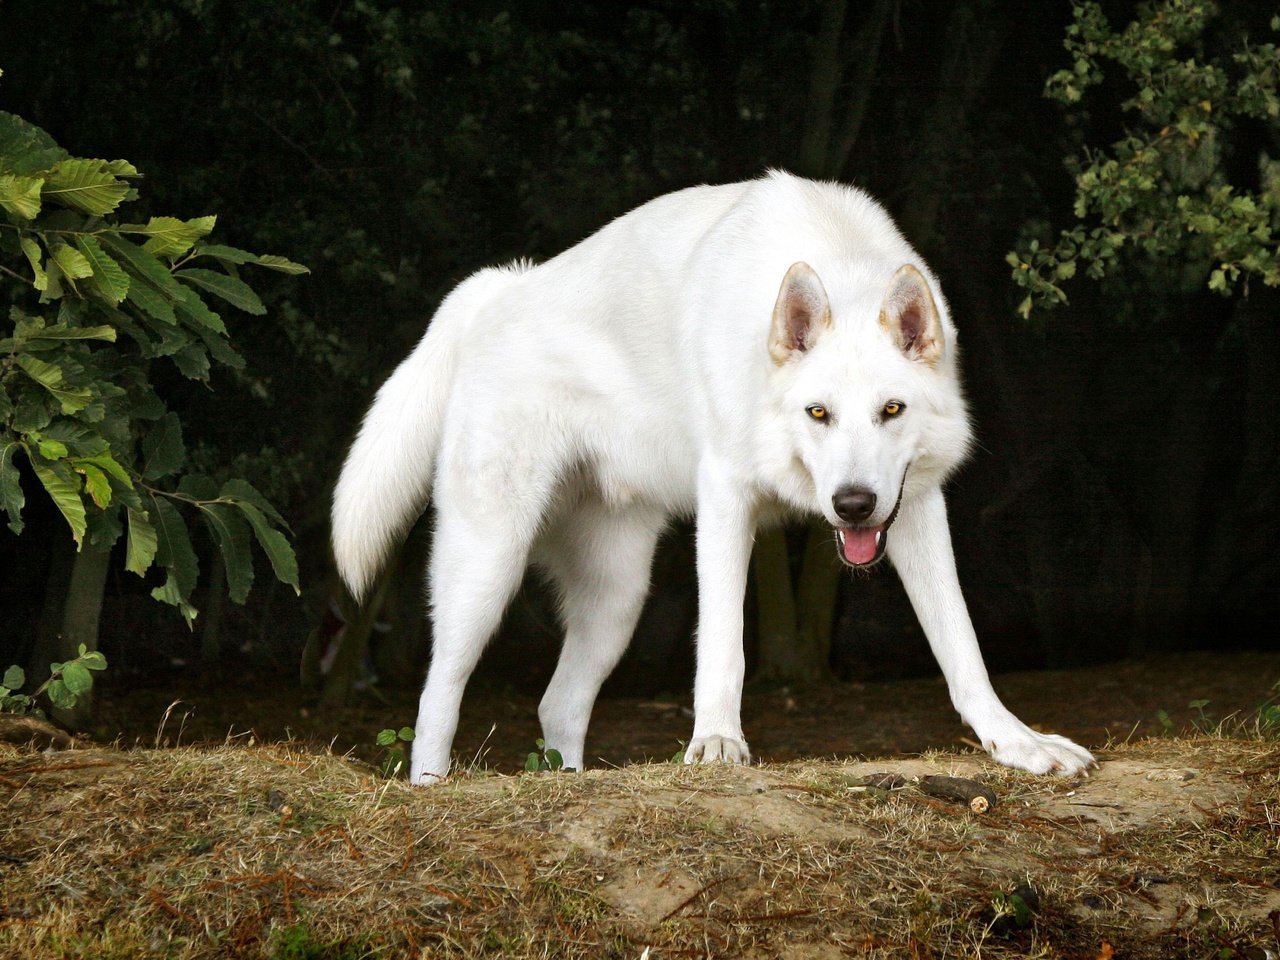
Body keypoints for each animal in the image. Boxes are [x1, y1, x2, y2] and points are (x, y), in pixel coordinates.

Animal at [335, 171, 1095, 783]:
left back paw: (568, 783)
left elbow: (962, 647)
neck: (836, 259)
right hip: (487, 571)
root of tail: (498, 287)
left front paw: (1018, 744)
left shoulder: (915, 506)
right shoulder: (727, 497)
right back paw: (432, 788)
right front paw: (718, 746)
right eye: (818, 413)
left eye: (891, 410)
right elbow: (724, 645)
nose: (852, 504)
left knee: (558, 706)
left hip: (617, 601)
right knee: (436, 695)